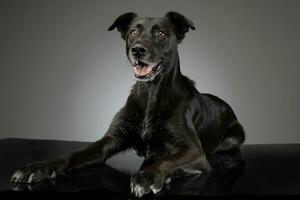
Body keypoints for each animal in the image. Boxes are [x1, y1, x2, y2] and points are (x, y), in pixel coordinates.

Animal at [10, 12, 245, 197]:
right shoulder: (110, 140)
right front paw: (40, 167)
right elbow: (74, 154)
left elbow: (167, 160)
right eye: (133, 33)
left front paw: (148, 176)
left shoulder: (194, 151)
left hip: (233, 138)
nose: (138, 50)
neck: (151, 94)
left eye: (161, 34)